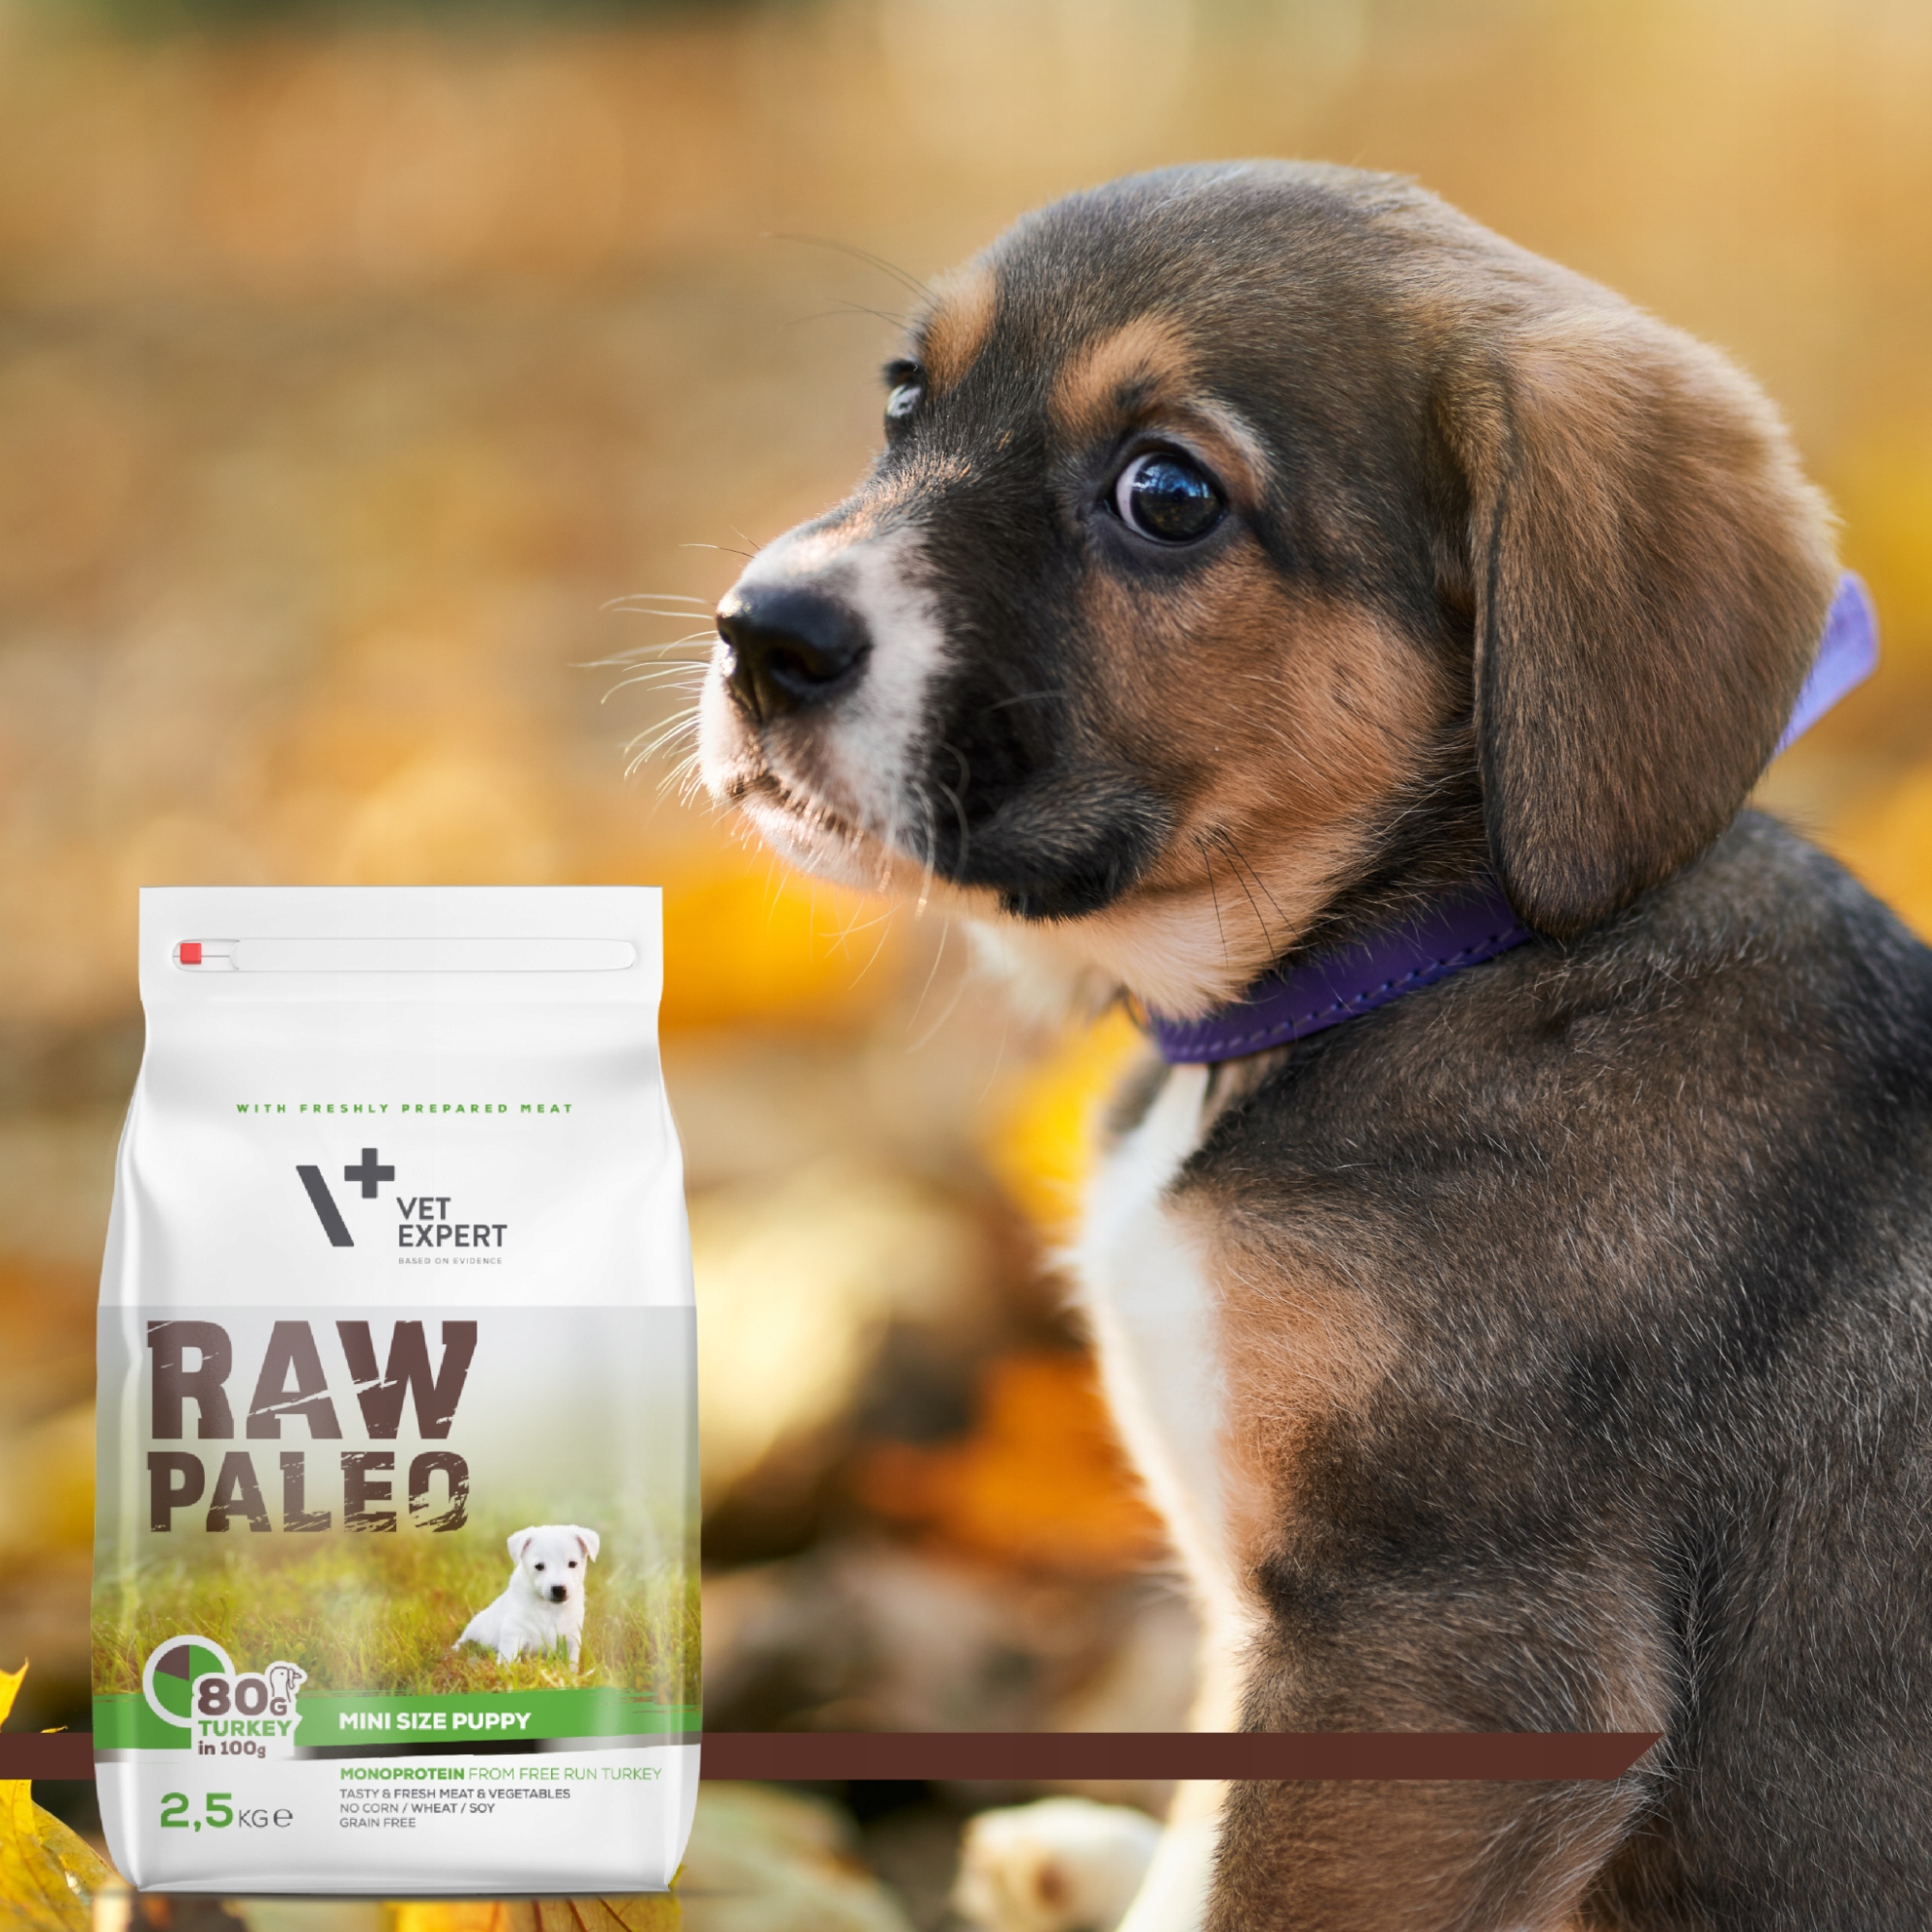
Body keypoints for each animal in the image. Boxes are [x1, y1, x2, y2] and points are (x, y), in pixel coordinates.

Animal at [456, 1524, 599, 1667]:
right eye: (539, 1566)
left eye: (573, 1563)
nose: (559, 1589)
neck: (549, 1608)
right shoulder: (513, 1632)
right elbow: (510, 1659)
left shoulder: (571, 1637)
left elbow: (571, 1662)